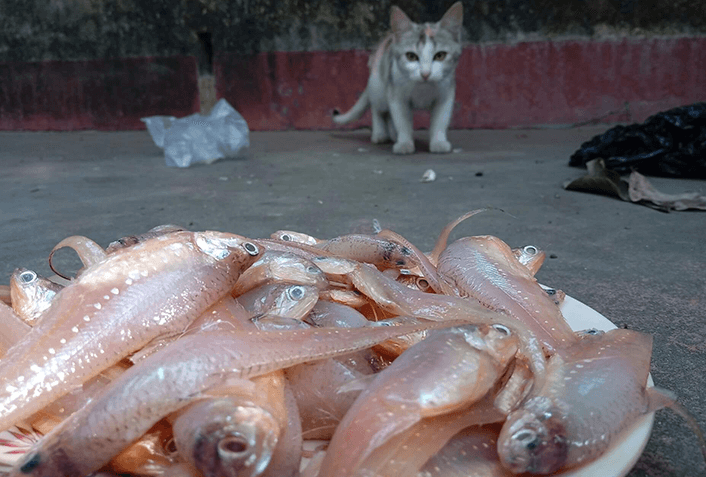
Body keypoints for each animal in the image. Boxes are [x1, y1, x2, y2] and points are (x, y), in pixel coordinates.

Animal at [332, 2, 462, 154]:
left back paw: (393, 135)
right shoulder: (397, 94)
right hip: (379, 84)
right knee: (378, 109)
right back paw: (380, 134)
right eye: (411, 56)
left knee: (388, 114)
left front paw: (438, 142)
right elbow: (402, 121)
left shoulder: (445, 93)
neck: (422, 87)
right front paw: (404, 143)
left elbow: (440, 120)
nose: (425, 73)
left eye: (440, 55)